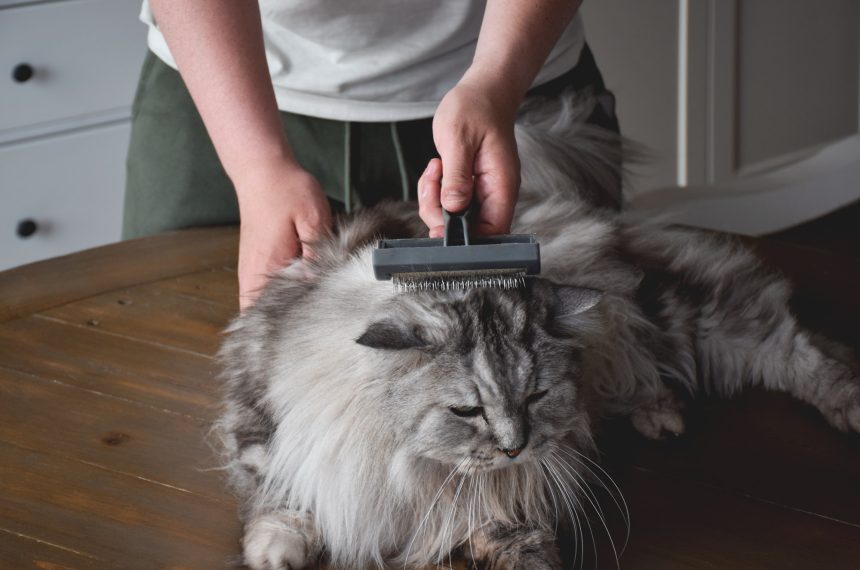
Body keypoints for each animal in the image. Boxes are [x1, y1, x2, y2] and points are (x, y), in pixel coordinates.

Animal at [215, 91, 860, 564]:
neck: (414, 472)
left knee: (791, 341)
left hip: (679, 313)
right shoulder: (264, 431)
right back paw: (661, 412)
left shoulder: (508, 511)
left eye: (536, 397)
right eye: (467, 410)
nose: (514, 447)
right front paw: (276, 553)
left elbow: (526, 550)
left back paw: (847, 406)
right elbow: (277, 498)